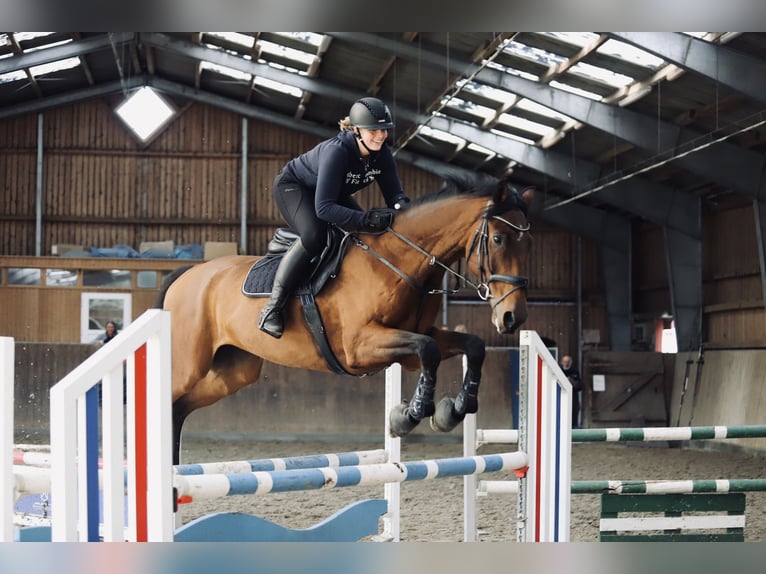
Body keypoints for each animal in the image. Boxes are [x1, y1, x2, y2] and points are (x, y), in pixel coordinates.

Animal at [158, 178, 536, 466]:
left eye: (528, 244)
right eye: (499, 239)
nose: (513, 316)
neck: (400, 262)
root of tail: (186, 274)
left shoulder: (414, 344)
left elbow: (472, 346)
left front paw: (453, 410)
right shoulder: (359, 348)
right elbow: (428, 350)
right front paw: (409, 415)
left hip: (233, 370)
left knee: (178, 408)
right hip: (189, 364)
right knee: (167, 400)